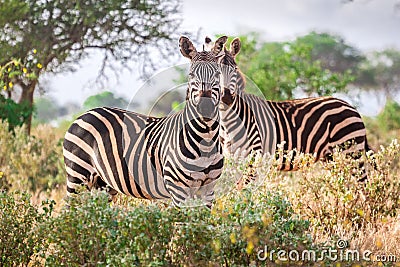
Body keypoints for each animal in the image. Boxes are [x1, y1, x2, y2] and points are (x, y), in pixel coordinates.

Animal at [61, 35, 227, 208]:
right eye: (191, 75)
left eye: (217, 74)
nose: (205, 107)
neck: (206, 138)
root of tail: (85, 114)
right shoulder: (178, 190)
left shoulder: (208, 190)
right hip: (77, 175)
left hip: (102, 183)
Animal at [209, 37, 376, 188]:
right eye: (216, 72)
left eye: (235, 70)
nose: (226, 97)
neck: (228, 121)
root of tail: (351, 107)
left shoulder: (253, 158)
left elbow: (241, 192)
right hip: (332, 158)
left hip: (350, 152)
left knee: (363, 187)